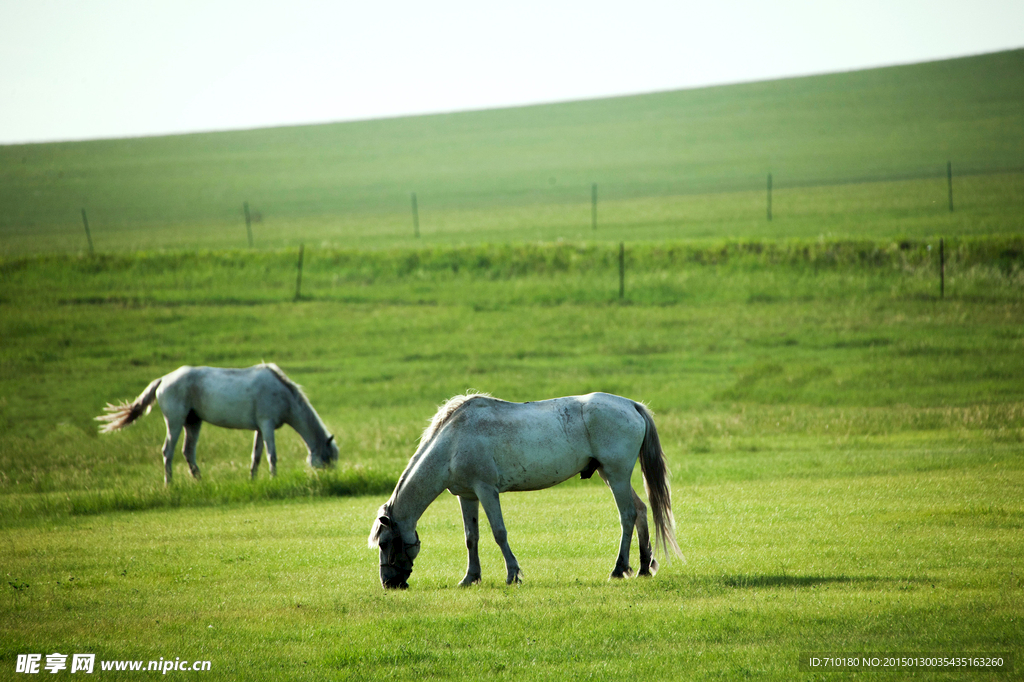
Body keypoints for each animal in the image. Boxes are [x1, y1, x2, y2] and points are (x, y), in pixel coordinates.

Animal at [96, 363, 339, 485]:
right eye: (327, 460)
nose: (326, 479)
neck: (282, 393)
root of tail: (163, 379)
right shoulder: (268, 425)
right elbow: (272, 455)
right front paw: (273, 479)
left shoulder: (260, 429)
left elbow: (256, 456)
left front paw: (253, 480)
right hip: (175, 422)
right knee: (168, 451)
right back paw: (169, 484)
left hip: (193, 422)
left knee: (188, 452)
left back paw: (201, 482)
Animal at [368, 392, 682, 589]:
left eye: (384, 544)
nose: (389, 584)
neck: (453, 441)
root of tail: (631, 404)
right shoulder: (467, 496)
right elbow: (471, 538)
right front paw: (470, 578)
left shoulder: (487, 491)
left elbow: (499, 533)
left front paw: (512, 575)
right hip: (611, 475)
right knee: (641, 510)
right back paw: (643, 567)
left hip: (616, 476)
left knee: (628, 515)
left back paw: (619, 569)